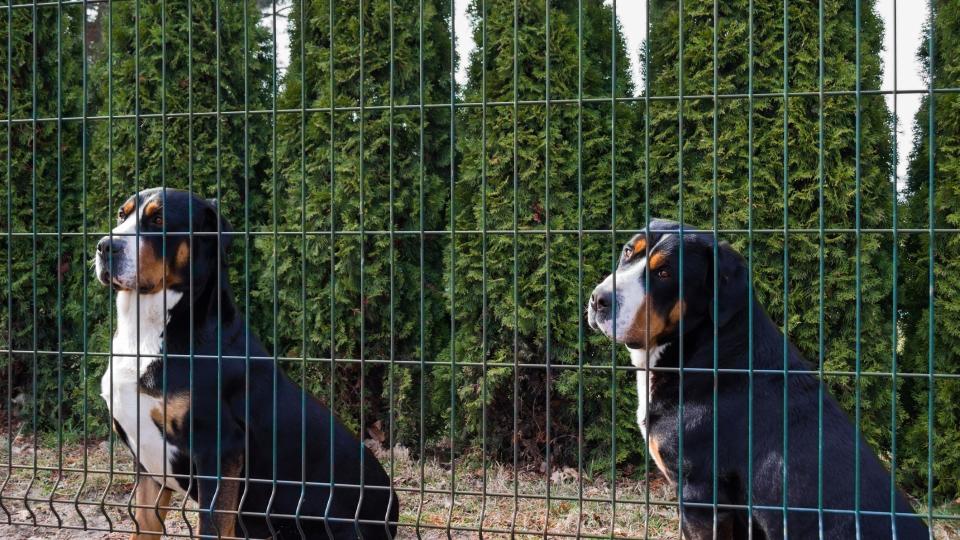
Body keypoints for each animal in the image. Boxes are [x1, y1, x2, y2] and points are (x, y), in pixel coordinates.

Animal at [94, 188, 398, 536]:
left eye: (158, 220)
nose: (105, 246)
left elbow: (212, 526)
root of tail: (392, 512)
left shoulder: (218, 448)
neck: (148, 331)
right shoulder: (147, 463)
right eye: (122, 214)